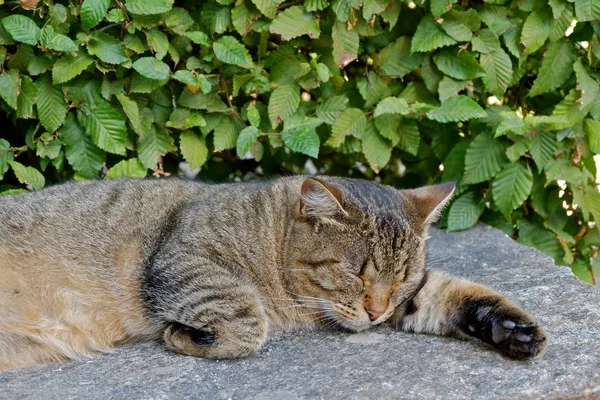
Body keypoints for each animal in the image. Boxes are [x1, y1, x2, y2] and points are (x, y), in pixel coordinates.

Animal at [0, 177, 548, 370]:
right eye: (356, 273)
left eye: (401, 280)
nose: (375, 311)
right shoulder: (183, 256)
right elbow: (249, 320)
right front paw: (186, 336)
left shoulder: (411, 300)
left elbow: (453, 293)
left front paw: (513, 329)